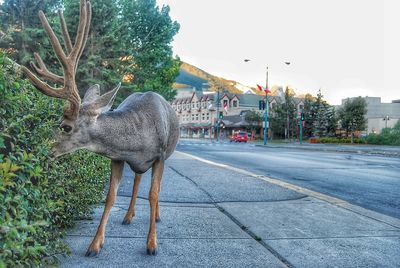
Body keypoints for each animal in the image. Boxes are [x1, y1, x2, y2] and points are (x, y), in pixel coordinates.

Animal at [19, 0, 179, 255]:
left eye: (65, 127)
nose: (42, 150)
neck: (137, 143)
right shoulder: (117, 157)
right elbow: (110, 197)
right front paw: (94, 244)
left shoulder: (160, 156)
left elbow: (154, 194)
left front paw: (152, 243)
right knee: (136, 180)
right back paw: (129, 215)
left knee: (155, 187)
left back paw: (155, 216)